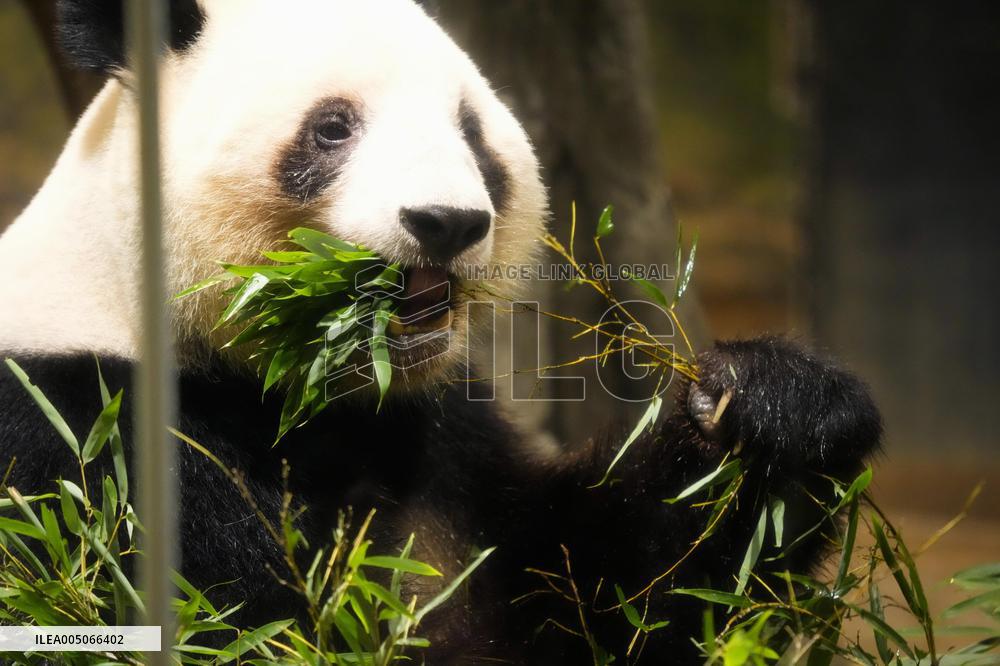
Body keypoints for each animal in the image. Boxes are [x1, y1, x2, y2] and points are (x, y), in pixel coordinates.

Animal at [0, 0, 882, 663]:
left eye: (472, 134)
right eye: (333, 127)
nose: (446, 221)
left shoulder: (438, 432)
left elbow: (598, 596)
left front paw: (771, 409)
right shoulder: (77, 433)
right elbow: (233, 615)